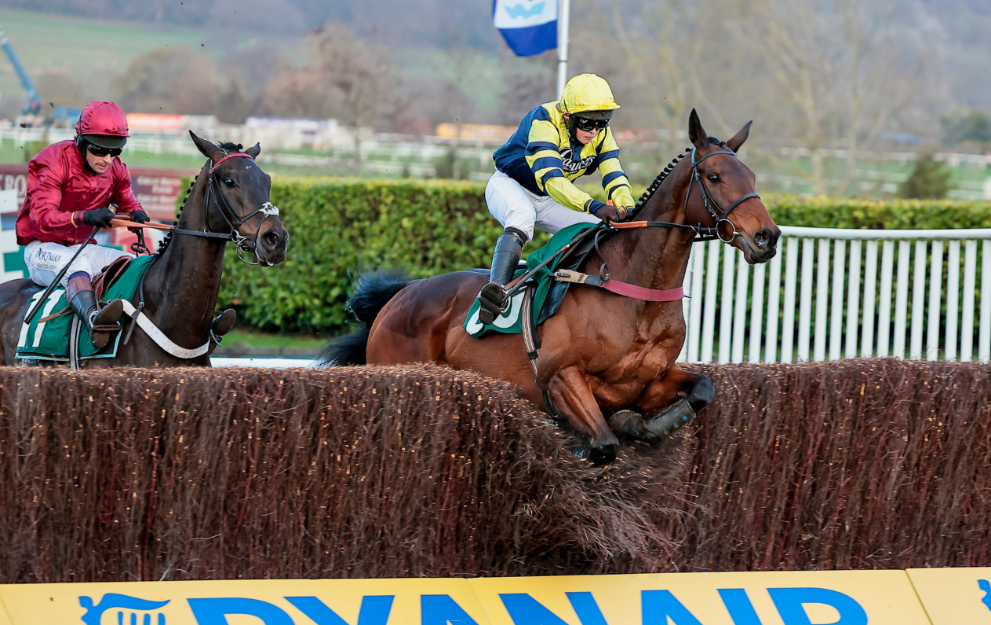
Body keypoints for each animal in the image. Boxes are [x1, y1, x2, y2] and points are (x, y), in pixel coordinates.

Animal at [322, 111, 780, 464]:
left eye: (753, 175)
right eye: (714, 176)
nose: (767, 237)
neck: (637, 293)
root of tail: (401, 296)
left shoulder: (650, 381)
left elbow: (702, 388)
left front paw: (640, 424)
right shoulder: (560, 377)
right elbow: (603, 444)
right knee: (517, 226)